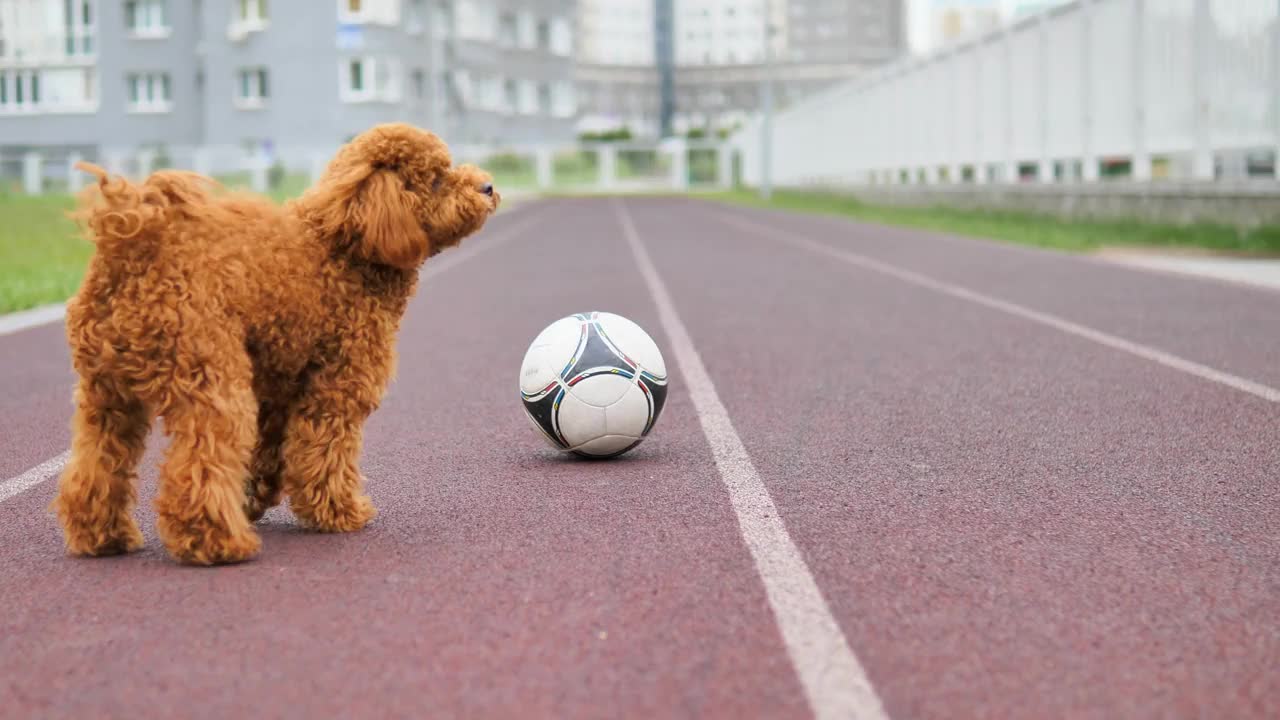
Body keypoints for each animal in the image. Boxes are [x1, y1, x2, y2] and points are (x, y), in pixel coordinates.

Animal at [49, 121, 499, 561]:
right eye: (436, 180)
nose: (488, 186)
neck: (347, 246)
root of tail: (132, 249)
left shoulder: (278, 387)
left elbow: (268, 452)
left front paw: (252, 498)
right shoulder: (337, 384)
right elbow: (325, 453)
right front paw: (339, 512)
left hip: (106, 392)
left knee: (97, 461)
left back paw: (103, 537)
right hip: (211, 380)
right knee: (201, 461)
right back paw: (217, 542)